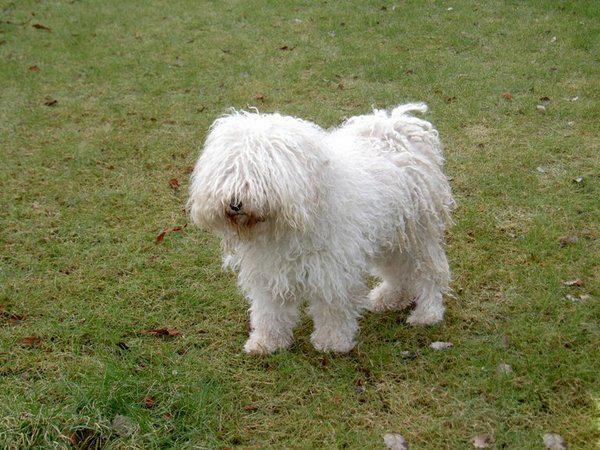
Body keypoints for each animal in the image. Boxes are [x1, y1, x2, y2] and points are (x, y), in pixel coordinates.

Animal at [188, 104, 454, 354]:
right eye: (229, 170)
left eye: (261, 172)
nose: (234, 204)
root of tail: (394, 132)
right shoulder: (269, 269)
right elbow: (269, 310)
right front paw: (266, 342)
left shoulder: (332, 269)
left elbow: (332, 308)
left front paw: (331, 342)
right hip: (391, 235)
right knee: (398, 272)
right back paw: (389, 299)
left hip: (417, 233)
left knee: (429, 271)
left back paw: (427, 313)